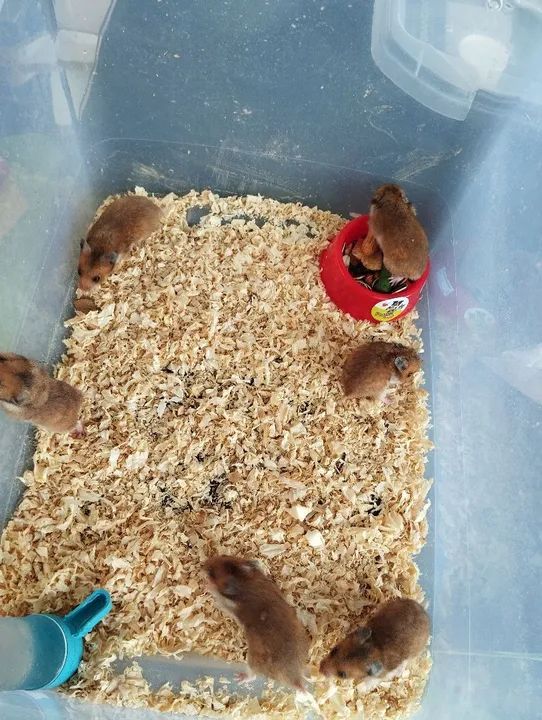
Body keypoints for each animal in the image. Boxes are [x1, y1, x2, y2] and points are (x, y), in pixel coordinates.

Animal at [204, 555, 310, 691]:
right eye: (224, 556)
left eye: (211, 573)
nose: (203, 564)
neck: (246, 583)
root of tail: (295, 679)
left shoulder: (228, 605)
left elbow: (217, 595)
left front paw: (207, 585)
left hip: (254, 662)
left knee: (253, 675)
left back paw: (238, 678)